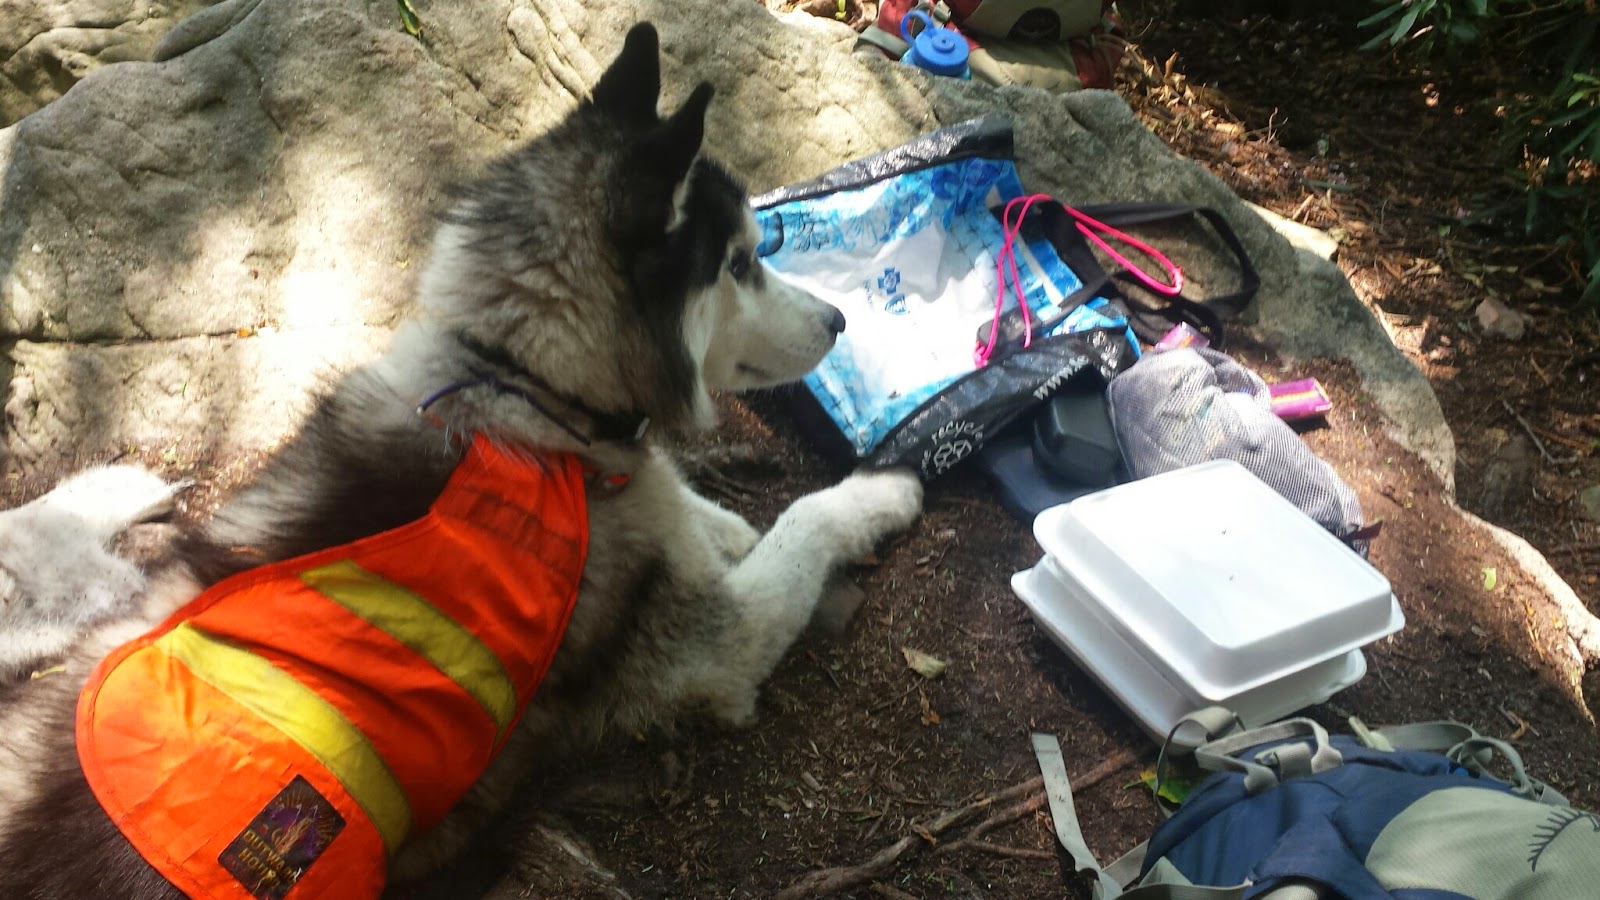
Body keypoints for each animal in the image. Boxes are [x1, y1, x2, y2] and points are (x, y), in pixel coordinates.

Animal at [0, 23, 922, 899]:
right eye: (739, 263)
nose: (840, 320)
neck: (520, 382)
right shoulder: (715, 650)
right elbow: (802, 522)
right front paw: (879, 493)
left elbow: (685, 493)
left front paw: (722, 524)